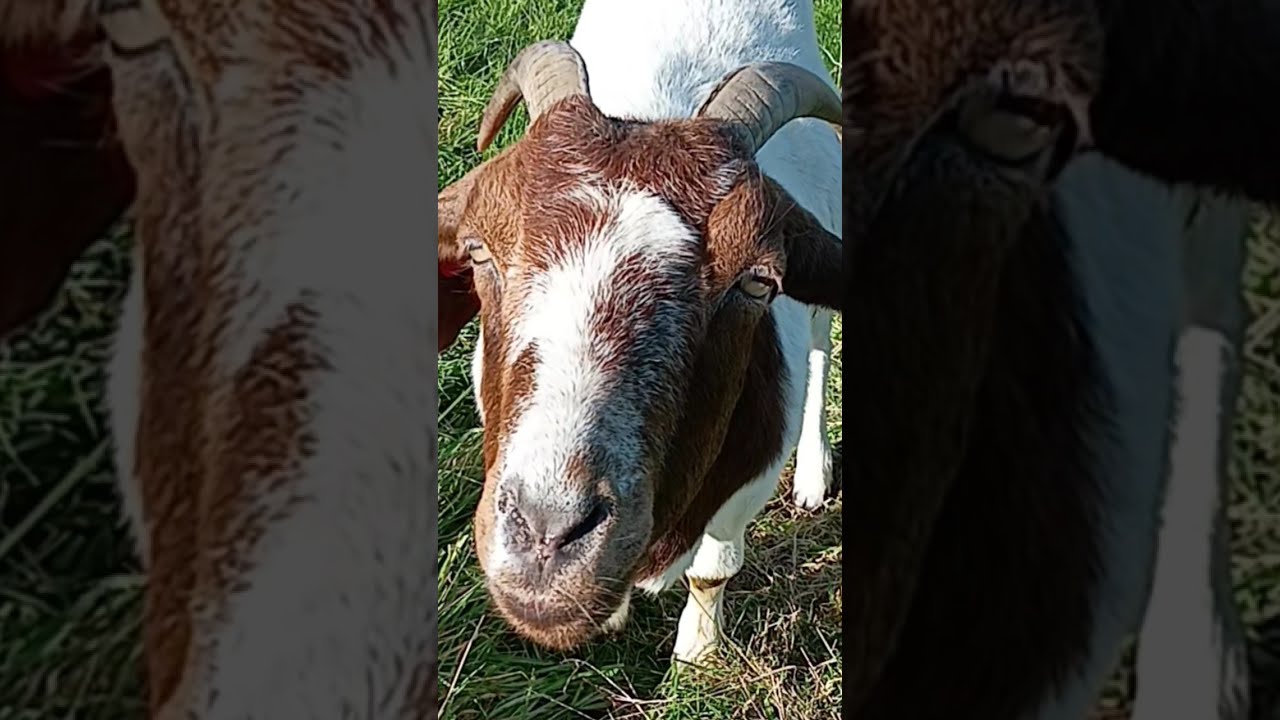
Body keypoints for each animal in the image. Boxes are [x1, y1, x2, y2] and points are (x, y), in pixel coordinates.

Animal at [435, 0, 842, 661]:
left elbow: (714, 567)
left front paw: (696, 654)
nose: (548, 533)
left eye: (757, 280)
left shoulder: (747, 485)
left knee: (821, 348)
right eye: (479, 254)